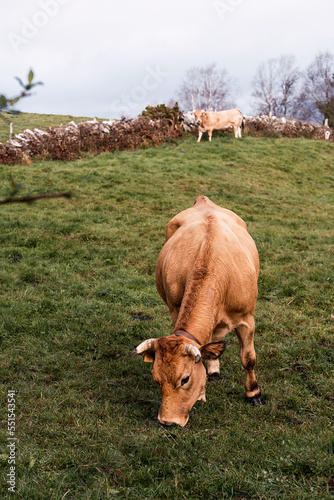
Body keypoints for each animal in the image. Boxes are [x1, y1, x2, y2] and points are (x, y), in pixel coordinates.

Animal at [132, 194, 264, 426]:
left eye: (185, 379)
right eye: (156, 379)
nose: (168, 421)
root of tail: (204, 200)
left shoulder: (247, 319)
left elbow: (248, 358)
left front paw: (254, 394)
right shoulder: (175, 309)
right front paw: (203, 390)